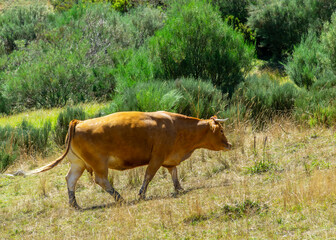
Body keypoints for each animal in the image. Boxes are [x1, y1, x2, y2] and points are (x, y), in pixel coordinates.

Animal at [28, 111, 231, 208]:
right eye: (221, 130)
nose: (229, 144)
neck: (175, 125)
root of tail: (79, 122)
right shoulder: (156, 158)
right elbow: (148, 176)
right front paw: (141, 194)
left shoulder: (168, 158)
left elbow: (174, 172)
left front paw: (179, 188)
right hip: (99, 164)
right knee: (101, 180)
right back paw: (120, 198)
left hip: (78, 164)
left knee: (70, 180)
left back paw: (74, 204)